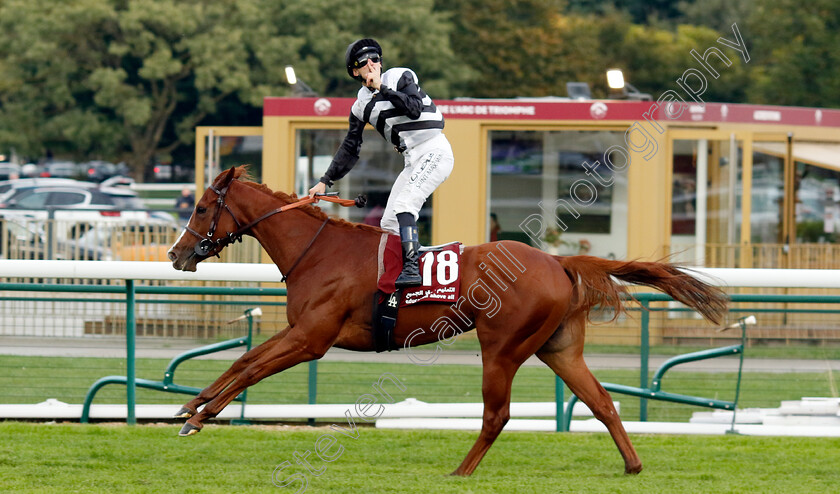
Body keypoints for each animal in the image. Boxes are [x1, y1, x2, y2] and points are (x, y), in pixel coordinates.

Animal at [166, 168, 728, 476]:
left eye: (201, 207)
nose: (176, 254)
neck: (318, 251)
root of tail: (556, 261)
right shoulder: (299, 331)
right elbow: (244, 361)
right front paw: (192, 406)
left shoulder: (312, 339)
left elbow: (252, 368)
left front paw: (199, 416)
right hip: (559, 348)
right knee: (602, 402)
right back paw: (632, 464)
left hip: (502, 347)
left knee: (497, 415)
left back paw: (460, 470)